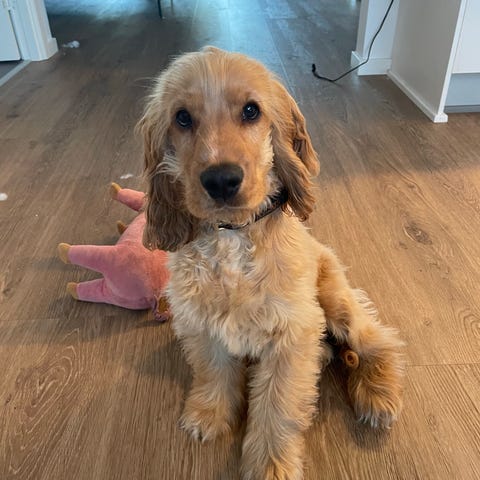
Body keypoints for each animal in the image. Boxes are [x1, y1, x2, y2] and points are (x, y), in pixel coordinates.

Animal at [138, 46, 403, 480]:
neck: (233, 237)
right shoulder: (200, 323)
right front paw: (209, 414)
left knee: (379, 339)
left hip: (335, 300)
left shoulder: (292, 335)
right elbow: (213, 371)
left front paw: (271, 465)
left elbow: (277, 407)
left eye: (251, 110)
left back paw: (378, 395)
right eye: (182, 117)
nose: (221, 180)